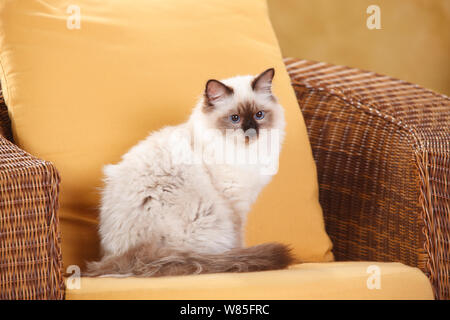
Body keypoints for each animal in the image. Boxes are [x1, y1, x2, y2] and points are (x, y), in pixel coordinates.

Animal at [85, 68, 296, 278]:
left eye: (259, 115)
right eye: (235, 118)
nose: (251, 131)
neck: (246, 154)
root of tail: (132, 257)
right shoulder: (234, 204)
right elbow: (239, 238)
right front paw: (240, 254)